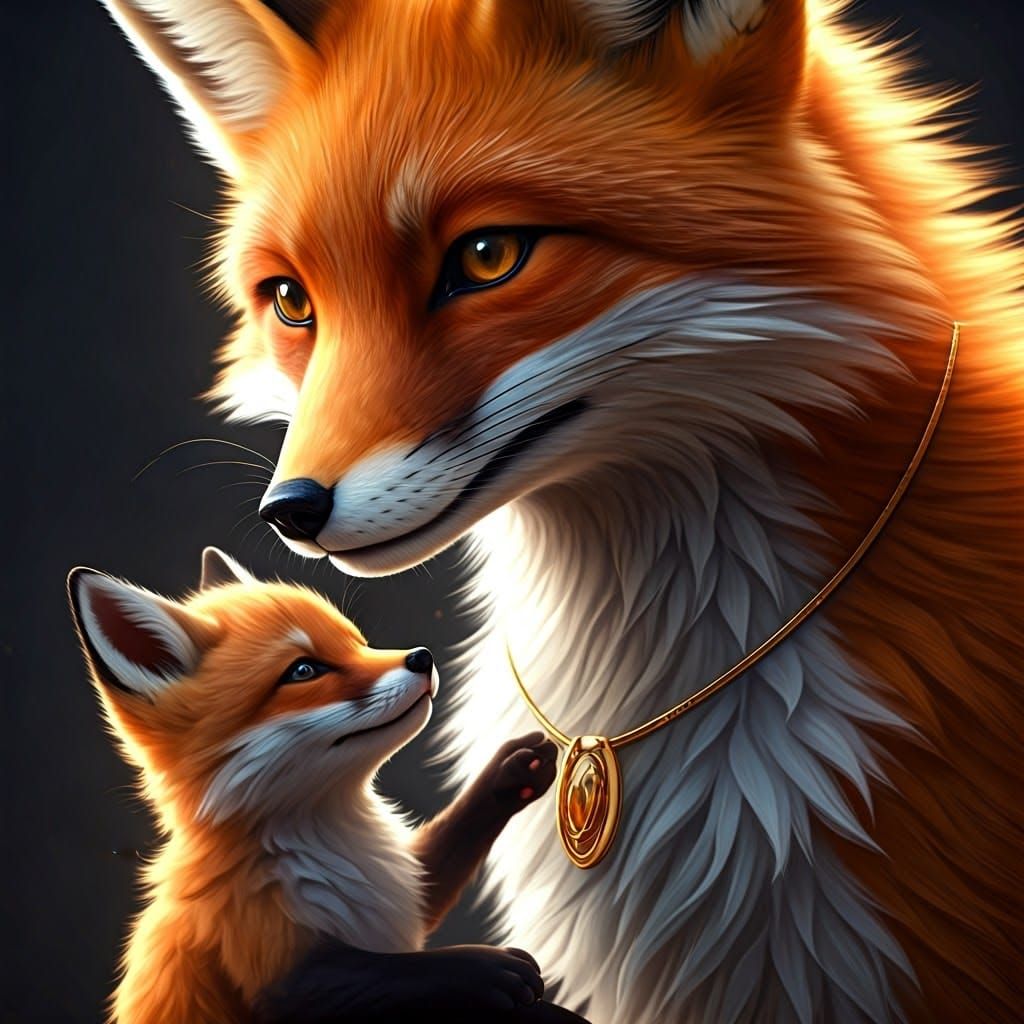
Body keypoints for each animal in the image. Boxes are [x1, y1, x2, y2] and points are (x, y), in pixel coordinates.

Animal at [67, 546, 591, 1024]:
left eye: (358, 642)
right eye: (303, 670)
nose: (422, 657)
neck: (338, 839)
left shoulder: (402, 893)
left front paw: (517, 769)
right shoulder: (275, 971)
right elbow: (393, 972)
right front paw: (483, 967)